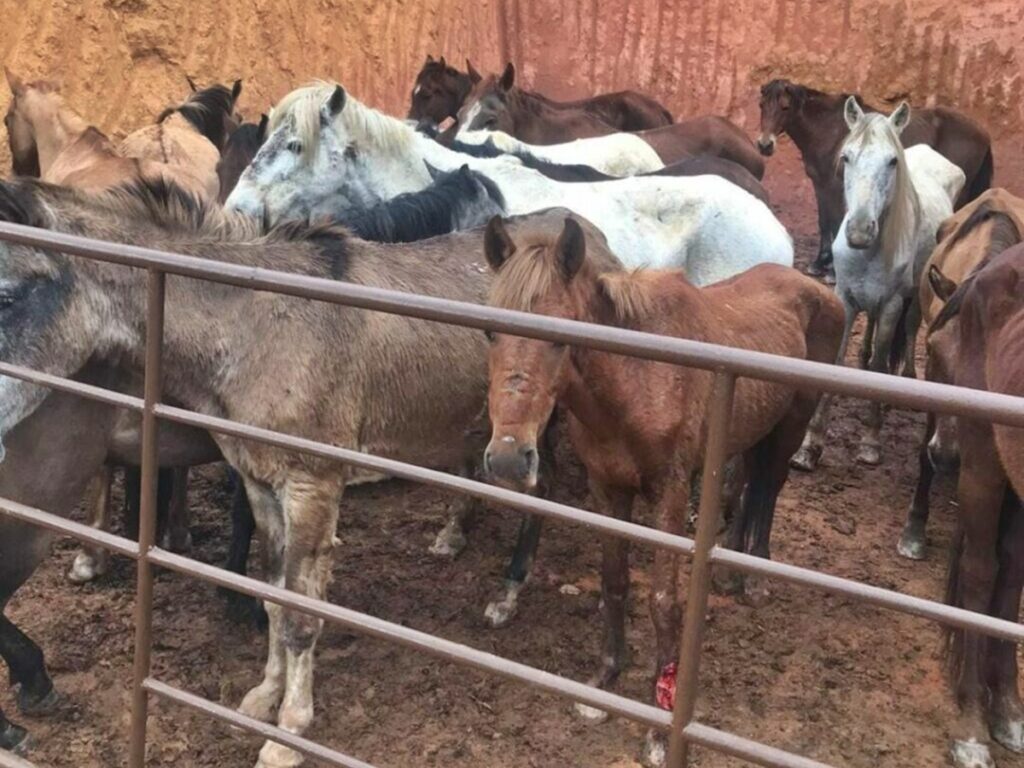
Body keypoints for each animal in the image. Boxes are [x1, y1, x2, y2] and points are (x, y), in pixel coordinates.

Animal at [480, 211, 843, 766]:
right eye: (488, 332)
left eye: (562, 336)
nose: (507, 457)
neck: (638, 379)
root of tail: (815, 287)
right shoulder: (608, 490)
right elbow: (614, 582)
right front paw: (604, 683)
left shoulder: (670, 496)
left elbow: (664, 601)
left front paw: (657, 730)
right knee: (751, 483)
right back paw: (732, 569)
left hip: (792, 425)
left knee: (770, 487)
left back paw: (755, 576)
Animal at [757, 79, 994, 277]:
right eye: (761, 106)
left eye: (785, 107)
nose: (764, 145)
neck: (828, 131)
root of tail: (984, 133)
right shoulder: (820, 184)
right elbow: (823, 222)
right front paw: (819, 263)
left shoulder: (835, 187)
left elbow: (835, 222)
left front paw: (832, 270)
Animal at [791, 99, 965, 471]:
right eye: (846, 157)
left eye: (892, 161)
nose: (859, 231)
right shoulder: (845, 298)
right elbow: (835, 363)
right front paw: (810, 447)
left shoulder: (891, 305)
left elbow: (880, 365)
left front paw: (870, 442)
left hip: (917, 296)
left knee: (910, 329)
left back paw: (906, 381)